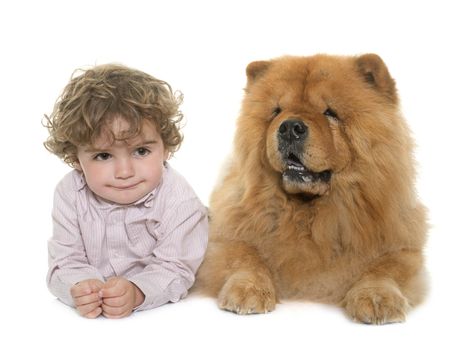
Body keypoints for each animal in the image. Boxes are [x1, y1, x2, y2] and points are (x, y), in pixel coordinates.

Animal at [192, 53, 426, 324]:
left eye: (330, 112)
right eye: (277, 111)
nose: (289, 127)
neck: (308, 213)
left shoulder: (402, 247)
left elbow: (385, 268)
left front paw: (377, 297)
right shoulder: (226, 236)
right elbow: (244, 256)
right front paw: (249, 290)